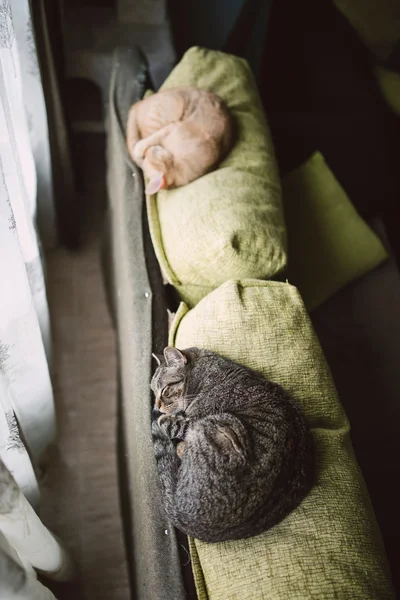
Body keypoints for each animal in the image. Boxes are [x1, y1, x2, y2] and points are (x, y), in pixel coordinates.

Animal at [151, 344, 316, 540]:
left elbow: (172, 424)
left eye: (165, 390)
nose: (156, 406)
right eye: (153, 392)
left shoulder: (195, 420)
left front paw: (165, 421)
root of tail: (183, 518)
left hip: (221, 424)